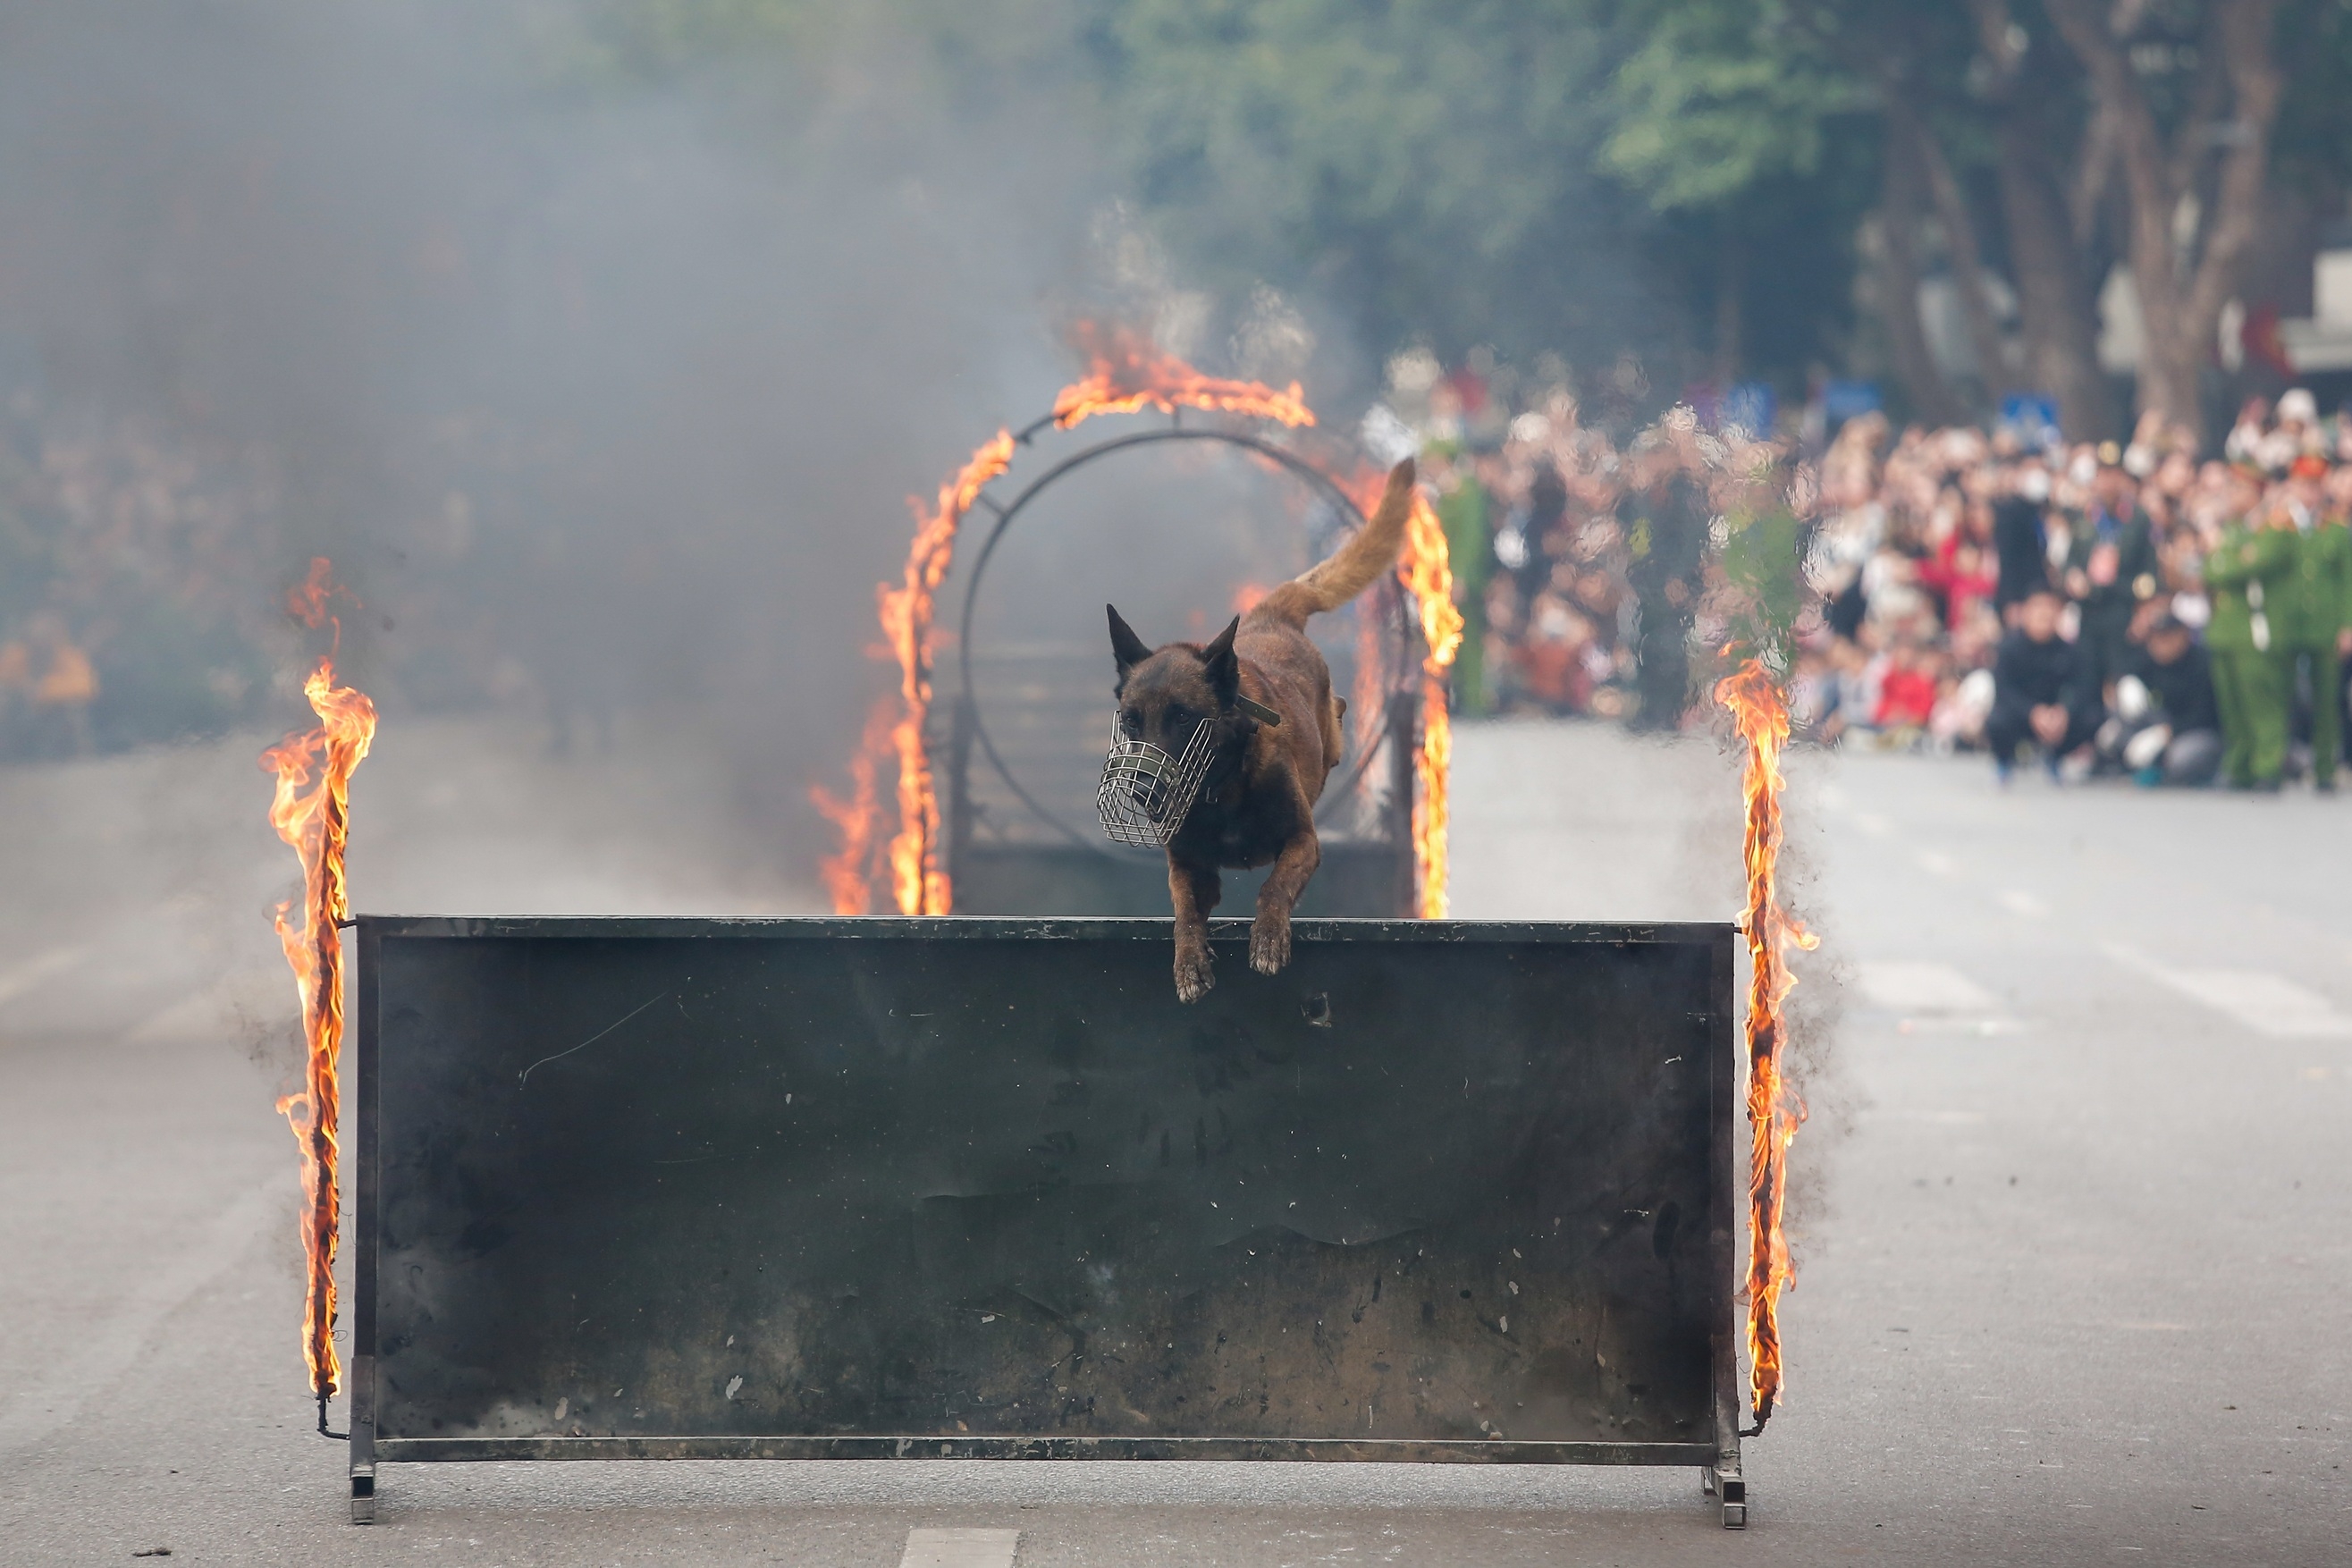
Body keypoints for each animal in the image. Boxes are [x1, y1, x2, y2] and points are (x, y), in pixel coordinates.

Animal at [1105, 460, 1411, 1001]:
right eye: (1132, 720)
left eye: (1182, 717)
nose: (1142, 786)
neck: (1221, 788)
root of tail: (1270, 615)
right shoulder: (1187, 866)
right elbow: (1184, 915)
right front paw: (1189, 965)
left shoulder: (1303, 841)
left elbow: (1274, 887)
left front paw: (1268, 938)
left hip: (1330, 734)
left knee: (1338, 712)